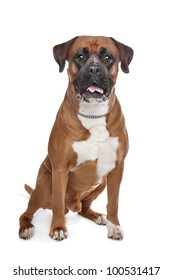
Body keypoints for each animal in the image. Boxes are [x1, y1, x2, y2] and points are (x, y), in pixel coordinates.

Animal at [18, 35, 133, 241]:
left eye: (107, 57)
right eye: (80, 56)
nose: (94, 68)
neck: (93, 114)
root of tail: (72, 204)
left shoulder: (117, 168)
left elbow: (113, 202)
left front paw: (114, 227)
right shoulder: (60, 168)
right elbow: (57, 202)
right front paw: (57, 228)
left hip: (102, 182)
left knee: (83, 208)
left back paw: (96, 216)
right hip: (44, 185)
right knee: (28, 212)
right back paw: (26, 227)